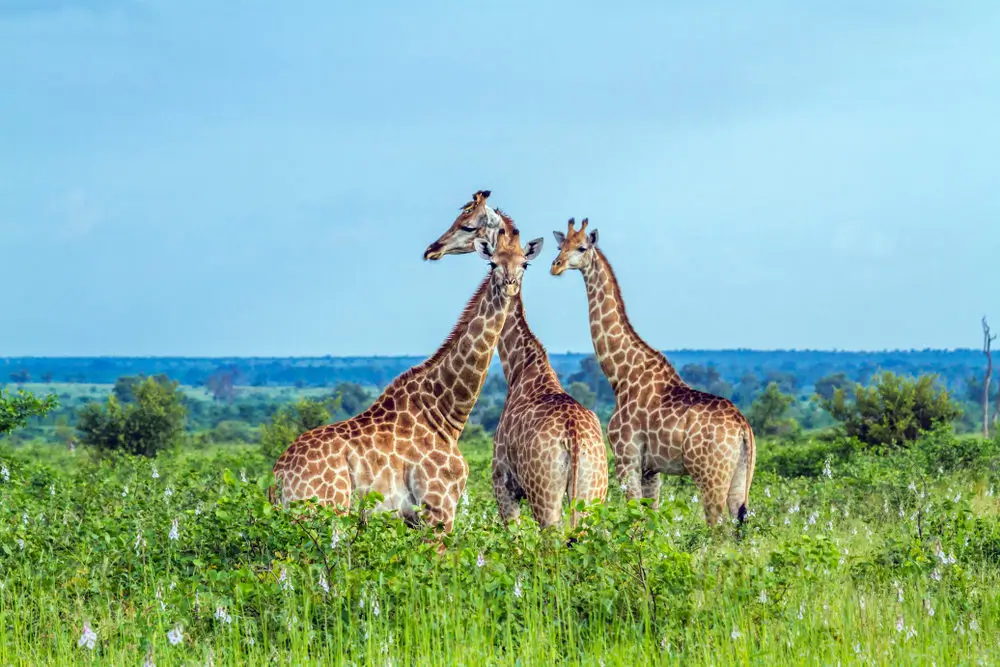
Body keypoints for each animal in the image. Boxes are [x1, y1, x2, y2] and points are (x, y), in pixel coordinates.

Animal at [270, 224, 544, 536]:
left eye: (525, 264)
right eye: (493, 264)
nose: (510, 284)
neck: (445, 413)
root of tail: (277, 479)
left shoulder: (414, 519)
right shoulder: (438, 509)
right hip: (323, 513)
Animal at [424, 196, 608, 528]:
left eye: (466, 224)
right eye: (494, 262)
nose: (434, 248)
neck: (521, 367)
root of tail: (574, 438)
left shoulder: (503, 484)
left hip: (545, 497)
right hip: (593, 494)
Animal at [552, 219, 752, 528]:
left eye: (582, 247)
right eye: (560, 246)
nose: (556, 266)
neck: (621, 375)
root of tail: (743, 428)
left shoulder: (627, 457)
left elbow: (635, 518)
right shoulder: (651, 469)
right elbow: (651, 520)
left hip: (710, 475)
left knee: (719, 527)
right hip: (740, 477)